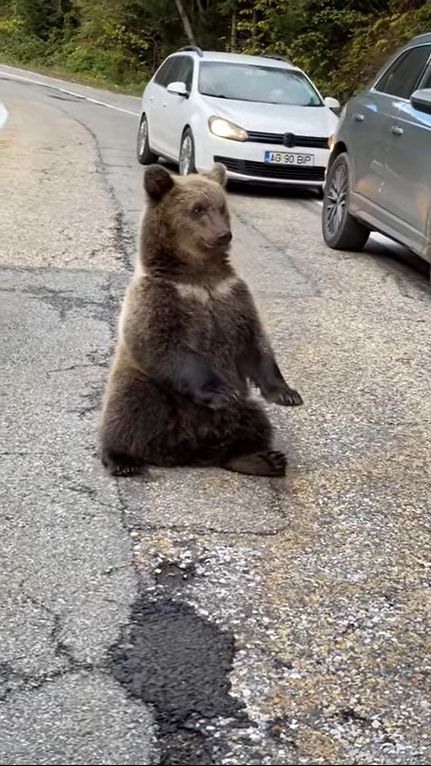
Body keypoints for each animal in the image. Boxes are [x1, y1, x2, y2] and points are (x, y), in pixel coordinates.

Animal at [100, 164, 304, 480]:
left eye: (222, 207)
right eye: (197, 209)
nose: (223, 235)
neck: (198, 276)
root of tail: (186, 451)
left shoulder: (231, 295)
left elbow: (255, 344)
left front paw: (287, 393)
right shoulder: (160, 298)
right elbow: (165, 345)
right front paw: (221, 391)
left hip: (240, 415)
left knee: (254, 422)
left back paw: (261, 459)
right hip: (147, 388)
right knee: (128, 408)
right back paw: (122, 459)